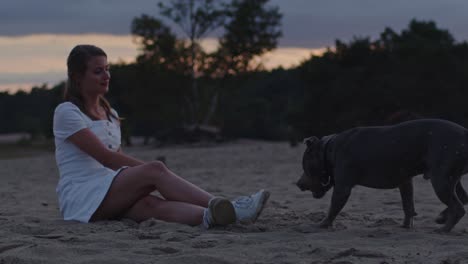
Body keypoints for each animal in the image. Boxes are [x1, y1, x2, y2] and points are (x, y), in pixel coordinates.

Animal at [298, 118, 468, 232]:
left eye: (305, 166)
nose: (298, 183)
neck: (328, 150)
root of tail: (464, 134)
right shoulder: (405, 181)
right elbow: (408, 205)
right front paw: (406, 225)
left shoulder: (342, 188)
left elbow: (333, 207)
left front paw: (323, 224)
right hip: (450, 178)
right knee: (462, 197)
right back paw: (442, 217)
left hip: (440, 180)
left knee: (458, 207)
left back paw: (444, 228)